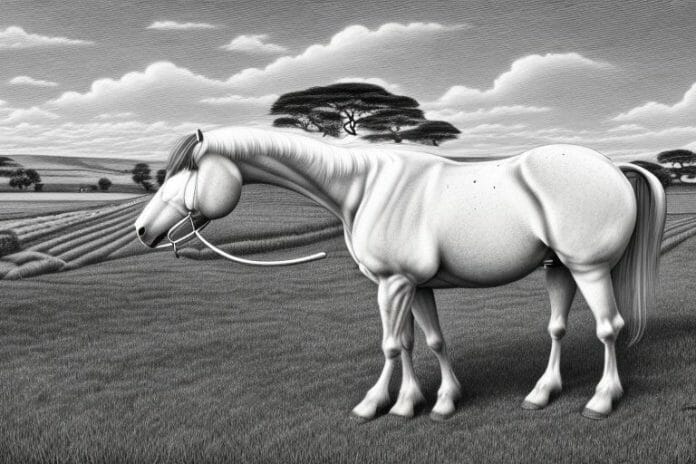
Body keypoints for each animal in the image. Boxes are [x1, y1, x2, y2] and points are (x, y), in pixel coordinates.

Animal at [134, 126, 666, 421]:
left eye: (190, 172)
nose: (143, 230)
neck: (364, 187)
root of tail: (611, 165)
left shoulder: (394, 284)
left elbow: (391, 345)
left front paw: (375, 405)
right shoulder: (415, 285)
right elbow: (424, 342)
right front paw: (431, 402)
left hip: (589, 269)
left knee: (608, 328)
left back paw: (601, 401)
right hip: (559, 269)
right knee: (557, 329)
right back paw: (541, 393)